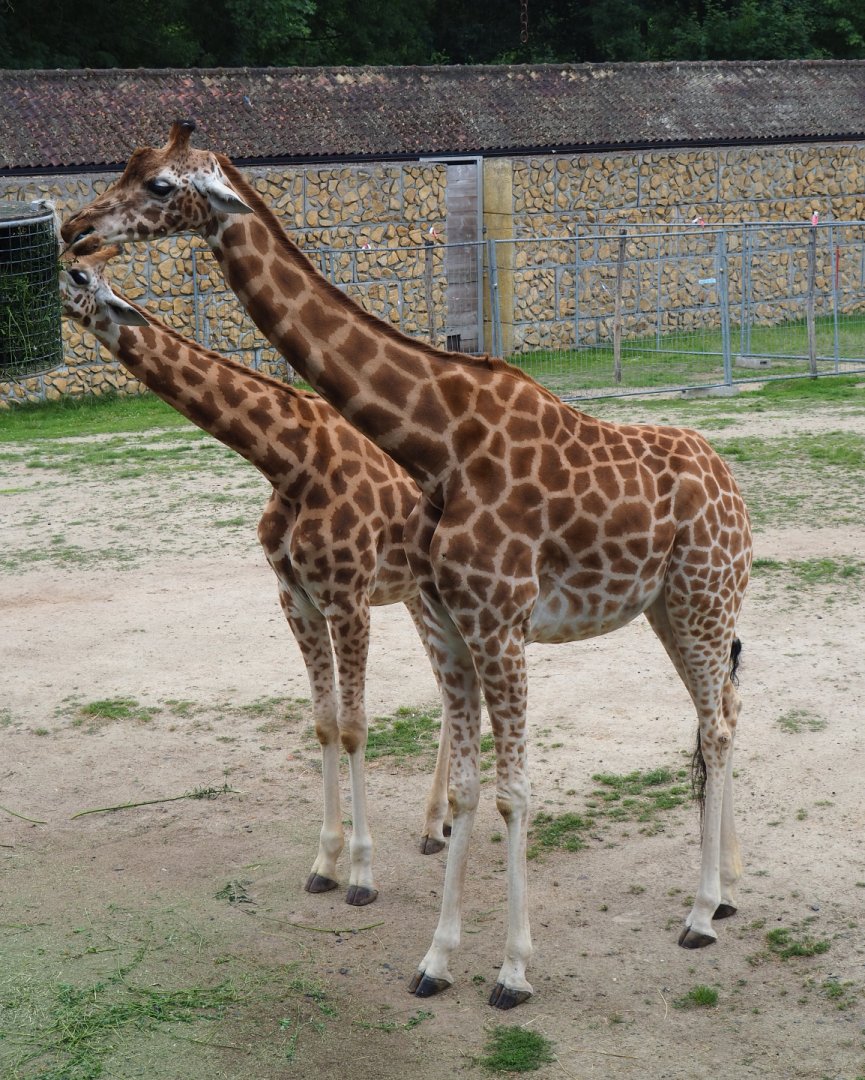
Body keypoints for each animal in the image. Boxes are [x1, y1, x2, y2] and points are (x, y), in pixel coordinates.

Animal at [58, 238, 453, 907]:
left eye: (81, 276)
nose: (56, 285)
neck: (289, 463)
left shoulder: (347, 599)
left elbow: (354, 727)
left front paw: (363, 876)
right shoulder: (296, 600)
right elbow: (323, 724)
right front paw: (324, 863)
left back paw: (443, 823)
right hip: (415, 593)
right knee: (451, 687)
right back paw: (437, 824)